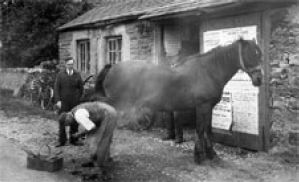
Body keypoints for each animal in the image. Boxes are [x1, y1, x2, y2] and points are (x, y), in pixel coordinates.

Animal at [95, 38, 264, 164]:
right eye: (250, 54)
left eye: (259, 55)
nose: (259, 80)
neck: (208, 71)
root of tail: (112, 68)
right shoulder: (202, 106)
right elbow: (200, 130)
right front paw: (198, 156)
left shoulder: (208, 107)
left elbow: (208, 130)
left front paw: (211, 154)